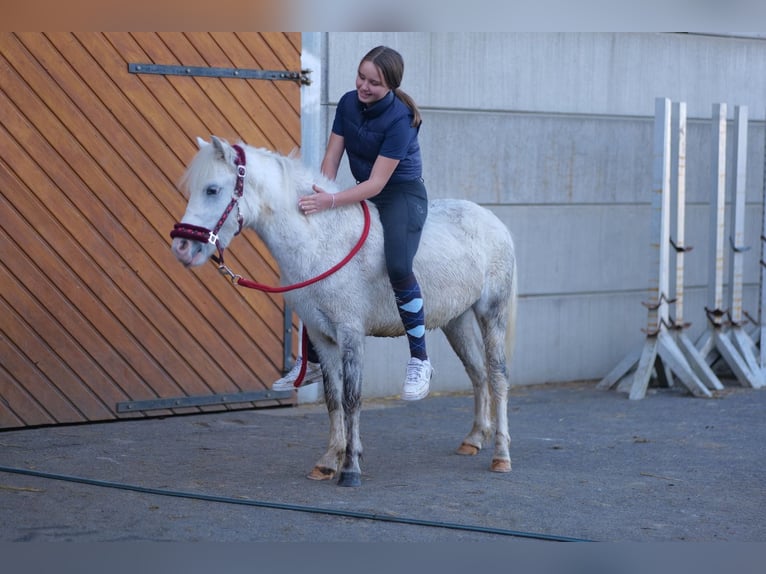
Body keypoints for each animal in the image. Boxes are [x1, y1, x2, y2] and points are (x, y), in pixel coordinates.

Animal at [172, 137, 520, 488]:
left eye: (212, 190)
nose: (182, 248)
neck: (321, 240)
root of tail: (494, 222)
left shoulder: (351, 334)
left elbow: (352, 398)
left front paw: (350, 468)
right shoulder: (321, 334)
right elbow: (333, 397)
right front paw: (328, 461)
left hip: (491, 313)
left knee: (497, 376)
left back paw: (501, 455)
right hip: (456, 320)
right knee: (477, 373)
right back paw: (474, 438)